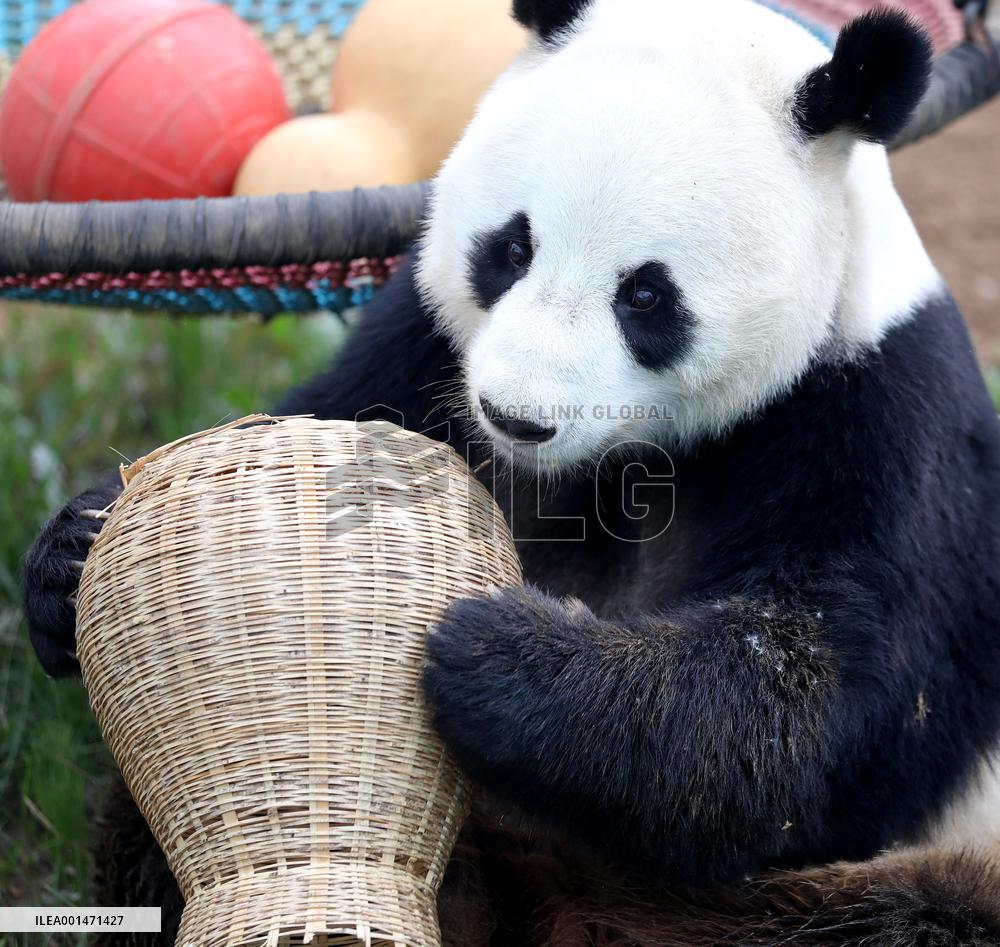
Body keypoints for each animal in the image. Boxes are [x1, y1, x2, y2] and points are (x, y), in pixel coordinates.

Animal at [21, 0, 1000, 944]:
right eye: (512, 248)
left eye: (647, 294)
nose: (515, 416)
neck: (612, 458)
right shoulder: (424, 342)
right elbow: (328, 419)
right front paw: (72, 553)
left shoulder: (871, 424)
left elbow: (816, 707)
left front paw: (497, 654)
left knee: (912, 917)